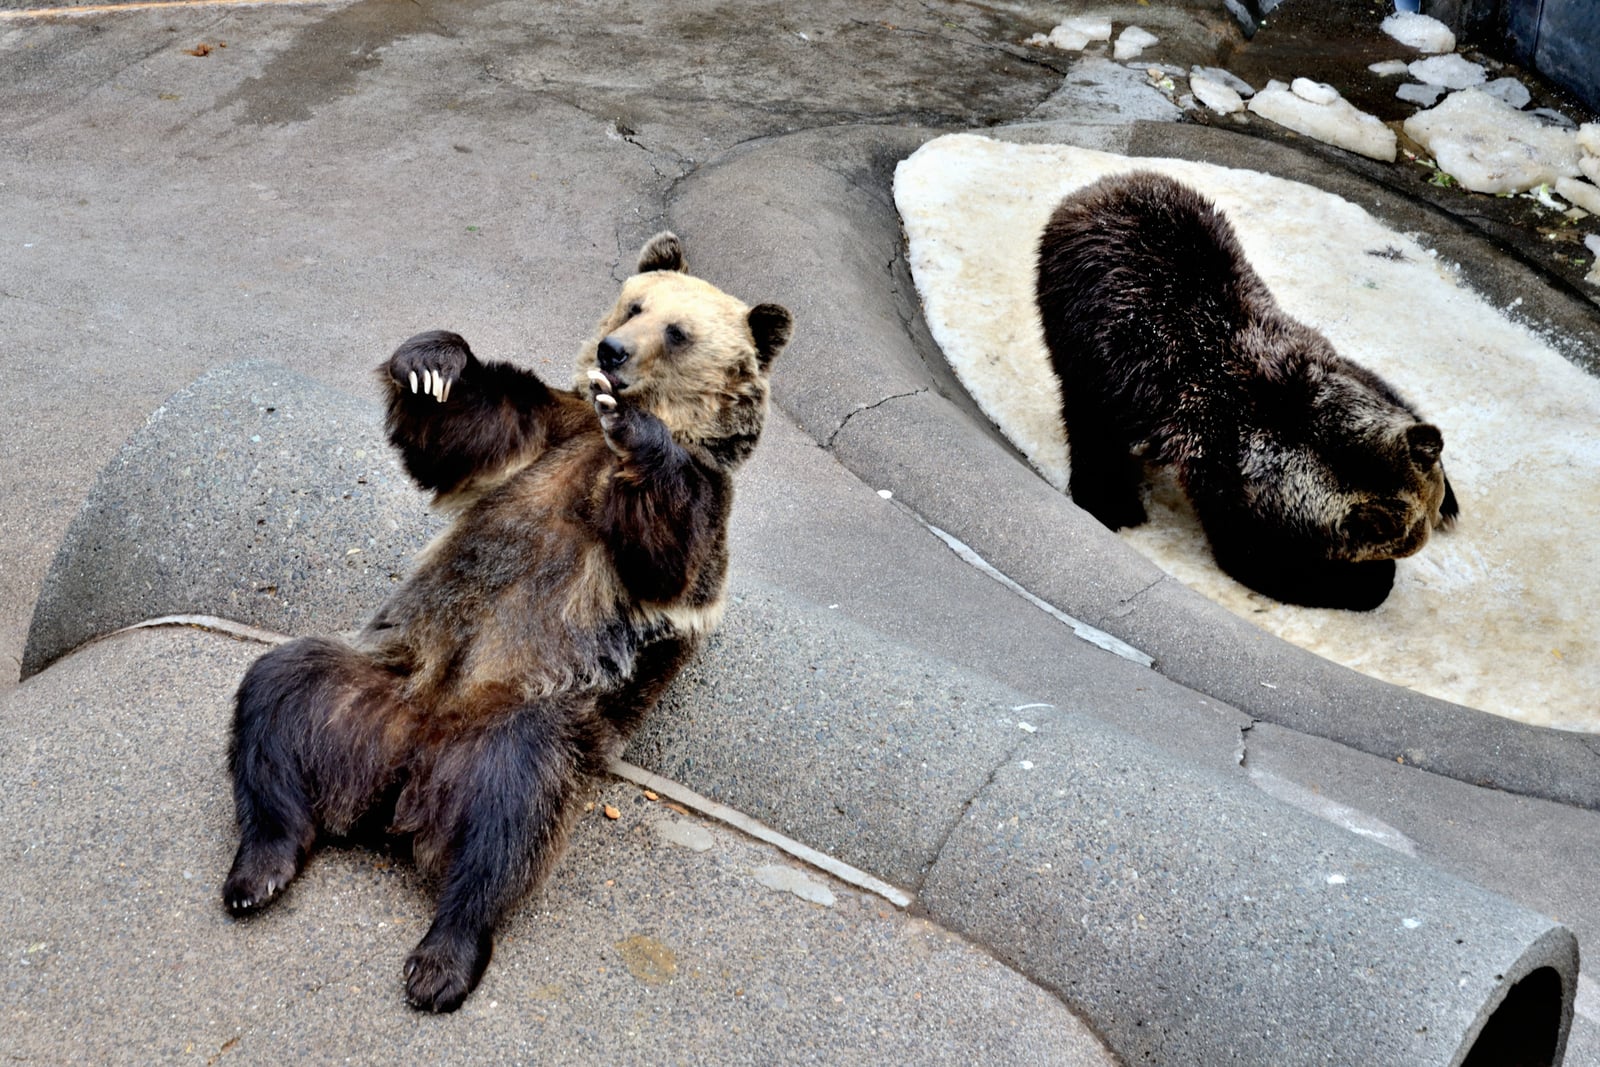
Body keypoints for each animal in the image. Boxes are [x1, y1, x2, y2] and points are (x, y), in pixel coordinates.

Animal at [222, 232, 793, 1012]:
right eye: (634, 304)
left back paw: (443, 958)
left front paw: (638, 431)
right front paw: (432, 362)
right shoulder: (545, 432)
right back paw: (260, 868)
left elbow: (669, 554)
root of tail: (402, 769)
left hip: (530, 723)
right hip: (375, 677)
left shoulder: (701, 511)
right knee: (276, 697)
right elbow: (462, 432)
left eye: (678, 332)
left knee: (509, 822)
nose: (614, 351)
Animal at [1035, 171, 1457, 611]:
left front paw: (1451, 500)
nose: (1425, 527)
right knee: (1089, 421)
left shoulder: (1320, 363)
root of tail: (1097, 187)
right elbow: (1258, 558)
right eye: (1409, 541)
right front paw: (1370, 576)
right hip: (1084, 337)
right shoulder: (1225, 472)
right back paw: (1113, 502)